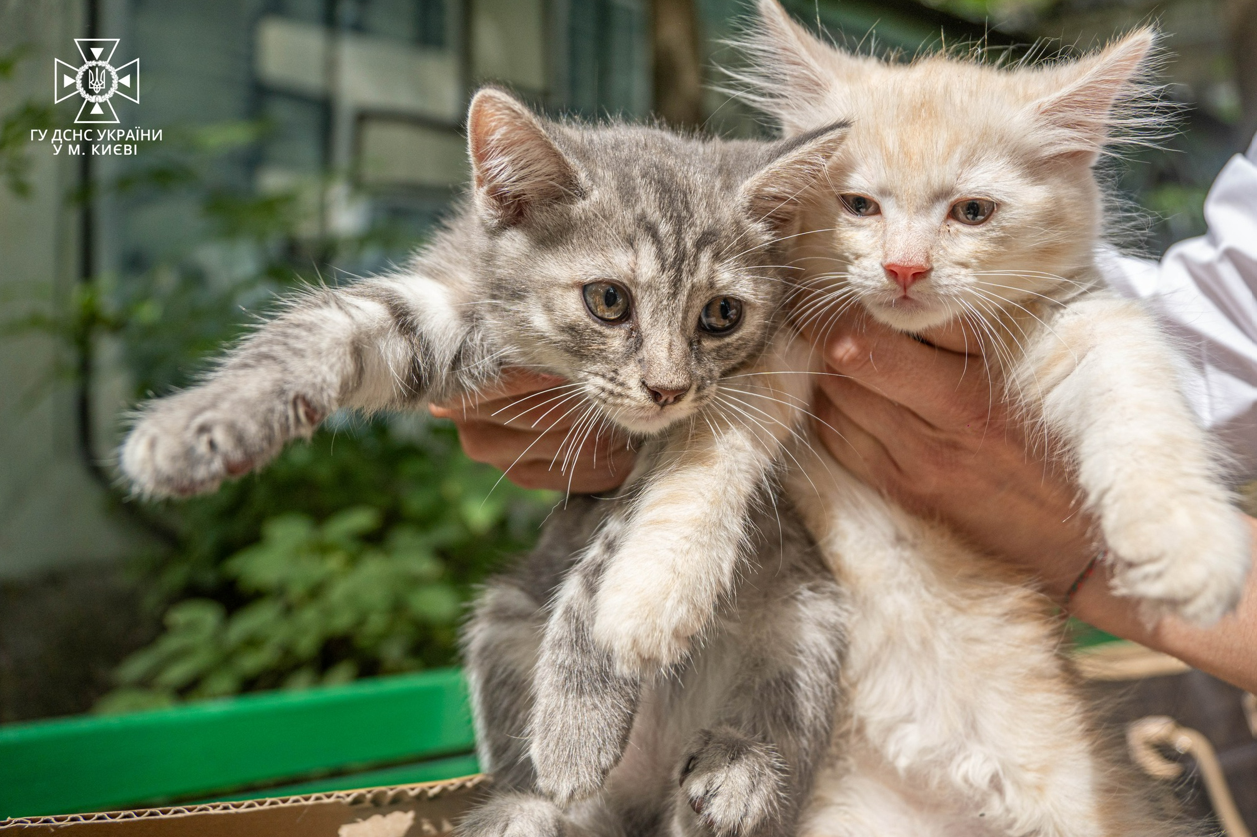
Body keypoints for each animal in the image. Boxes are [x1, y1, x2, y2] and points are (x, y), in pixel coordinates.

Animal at [122, 87, 849, 829]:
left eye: (722, 314)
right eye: (608, 299)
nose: (668, 388)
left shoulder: (686, 432)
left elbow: (617, 558)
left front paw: (576, 726)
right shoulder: (444, 302)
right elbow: (320, 330)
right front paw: (199, 423)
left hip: (812, 622)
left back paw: (740, 768)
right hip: (499, 619)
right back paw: (521, 810)